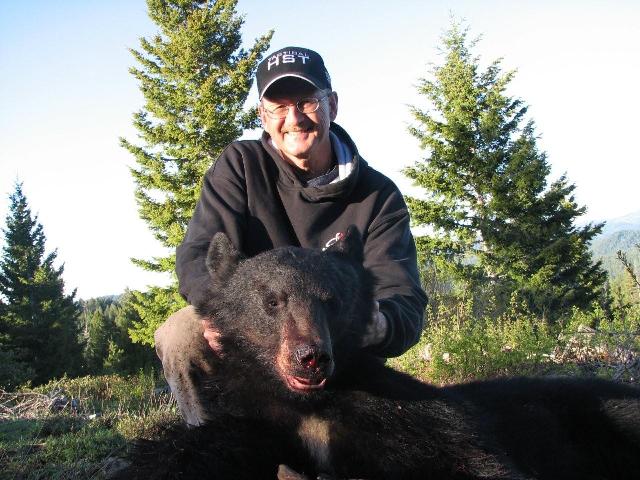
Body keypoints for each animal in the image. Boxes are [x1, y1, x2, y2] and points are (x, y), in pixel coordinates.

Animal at [120, 229, 640, 480]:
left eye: (332, 299)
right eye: (271, 301)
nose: (311, 357)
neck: (311, 406)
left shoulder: (402, 415)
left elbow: (473, 454)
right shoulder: (256, 422)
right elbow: (191, 452)